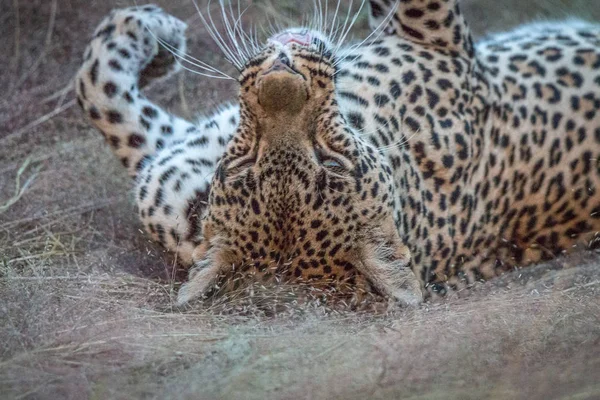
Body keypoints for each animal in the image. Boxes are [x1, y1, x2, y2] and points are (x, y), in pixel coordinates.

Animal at [75, 1, 600, 306]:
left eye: (331, 162)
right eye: (247, 164)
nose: (281, 73)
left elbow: (98, 89)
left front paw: (153, 37)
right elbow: (96, 87)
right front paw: (154, 35)